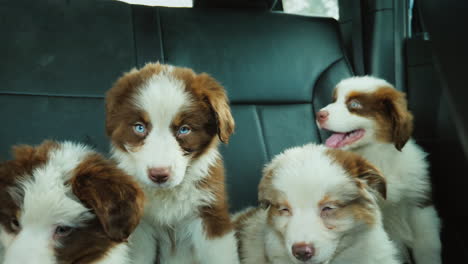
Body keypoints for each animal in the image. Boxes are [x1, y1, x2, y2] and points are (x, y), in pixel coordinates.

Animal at [104, 63, 239, 262]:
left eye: (184, 129)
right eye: (139, 127)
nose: (159, 175)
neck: (167, 194)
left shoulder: (210, 214)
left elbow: (221, 256)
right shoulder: (140, 227)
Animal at [316, 76, 440, 264]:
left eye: (355, 105)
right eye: (334, 100)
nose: (319, 114)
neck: (377, 155)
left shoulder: (420, 204)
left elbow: (427, 244)